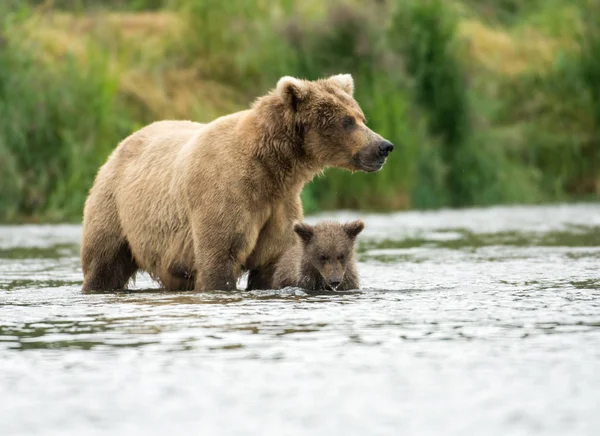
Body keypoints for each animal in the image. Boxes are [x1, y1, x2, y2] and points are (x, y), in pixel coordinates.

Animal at [81, 75, 394, 292]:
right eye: (347, 121)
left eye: (360, 116)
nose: (384, 146)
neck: (272, 169)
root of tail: (122, 143)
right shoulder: (225, 194)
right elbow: (220, 257)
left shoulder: (279, 206)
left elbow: (271, 264)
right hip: (115, 208)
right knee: (104, 262)